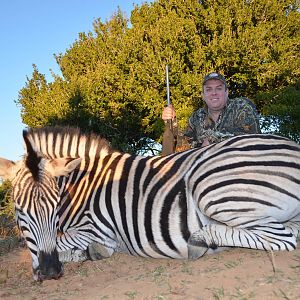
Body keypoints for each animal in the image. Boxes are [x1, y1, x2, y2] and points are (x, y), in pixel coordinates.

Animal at [0, 125, 298, 280]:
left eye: (55, 207)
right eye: (20, 211)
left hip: (210, 186)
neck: (82, 186)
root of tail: (293, 147)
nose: (50, 272)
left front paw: (85, 253)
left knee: (282, 238)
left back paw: (202, 240)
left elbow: (51, 245)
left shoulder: (96, 230)